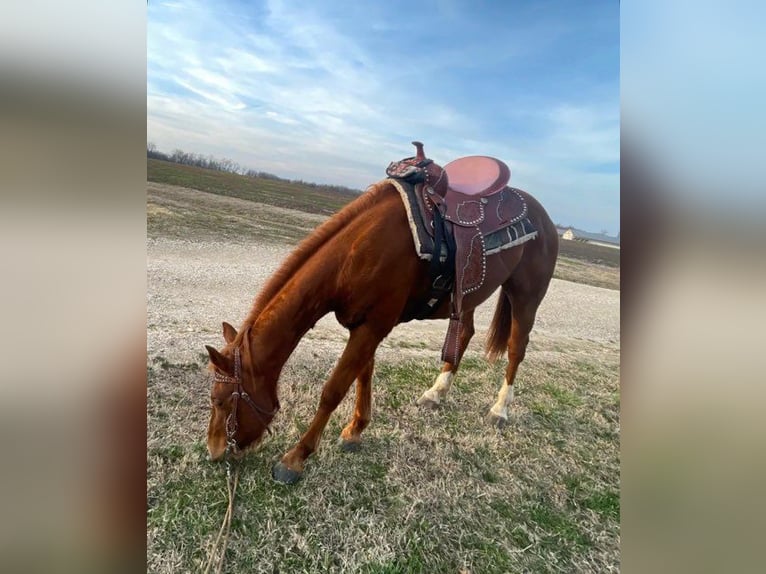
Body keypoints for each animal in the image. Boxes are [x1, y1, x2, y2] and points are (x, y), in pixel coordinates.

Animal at [204, 163, 558, 484]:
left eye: (220, 400)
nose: (215, 451)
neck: (356, 253)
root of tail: (543, 216)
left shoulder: (372, 326)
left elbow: (333, 390)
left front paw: (295, 458)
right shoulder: (365, 325)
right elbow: (364, 375)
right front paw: (355, 430)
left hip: (525, 296)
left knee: (516, 349)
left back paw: (499, 409)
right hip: (468, 295)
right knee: (464, 334)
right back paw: (436, 393)